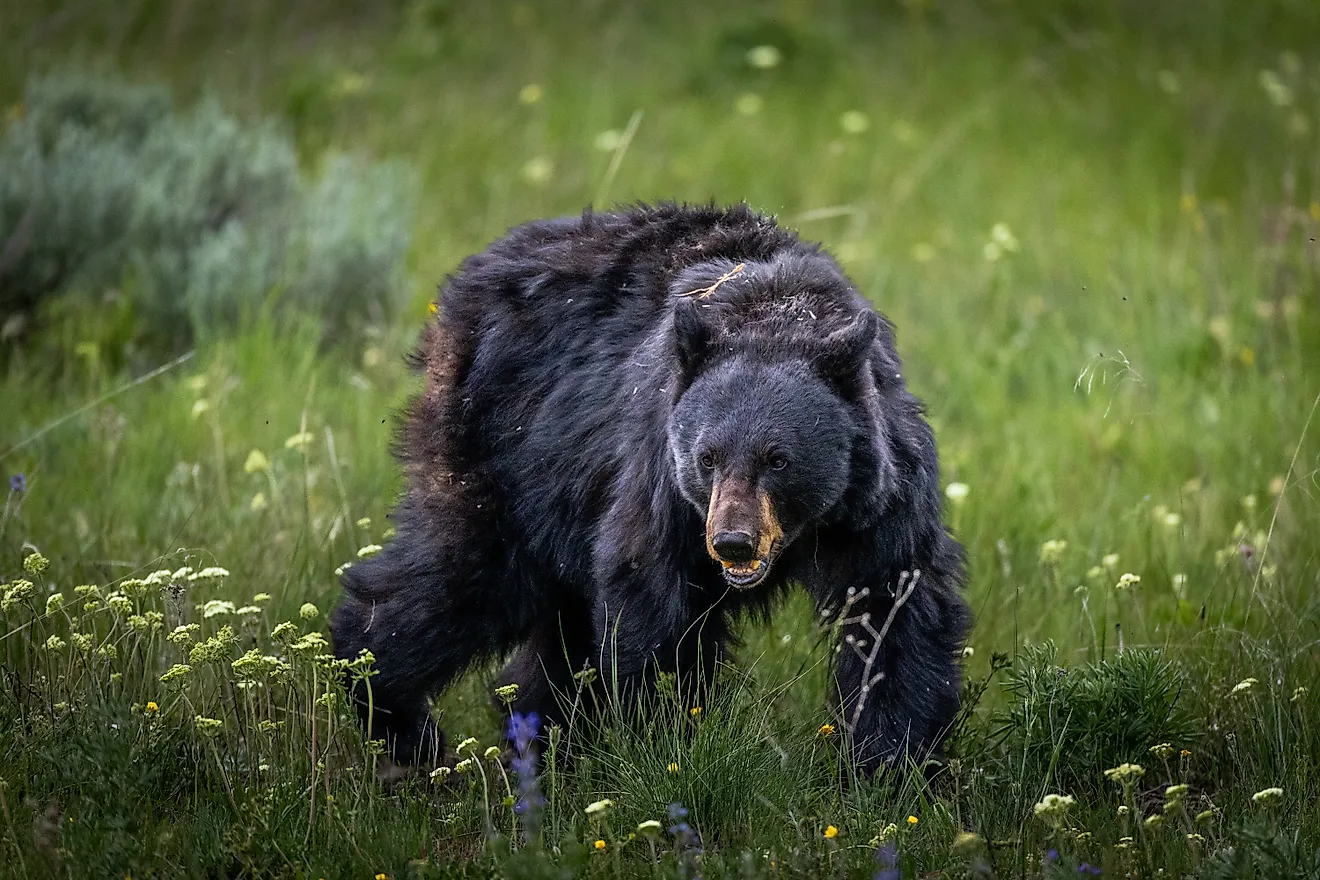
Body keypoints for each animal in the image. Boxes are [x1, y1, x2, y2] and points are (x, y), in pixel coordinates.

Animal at [330, 202, 971, 776]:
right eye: (708, 458)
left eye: (778, 460)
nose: (733, 543)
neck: (777, 314)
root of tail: (458, 292)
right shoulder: (660, 477)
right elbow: (653, 603)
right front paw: (666, 740)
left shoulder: (881, 497)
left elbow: (896, 609)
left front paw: (891, 764)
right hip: (505, 454)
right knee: (462, 575)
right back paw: (397, 717)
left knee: (554, 630)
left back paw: (541, 742)